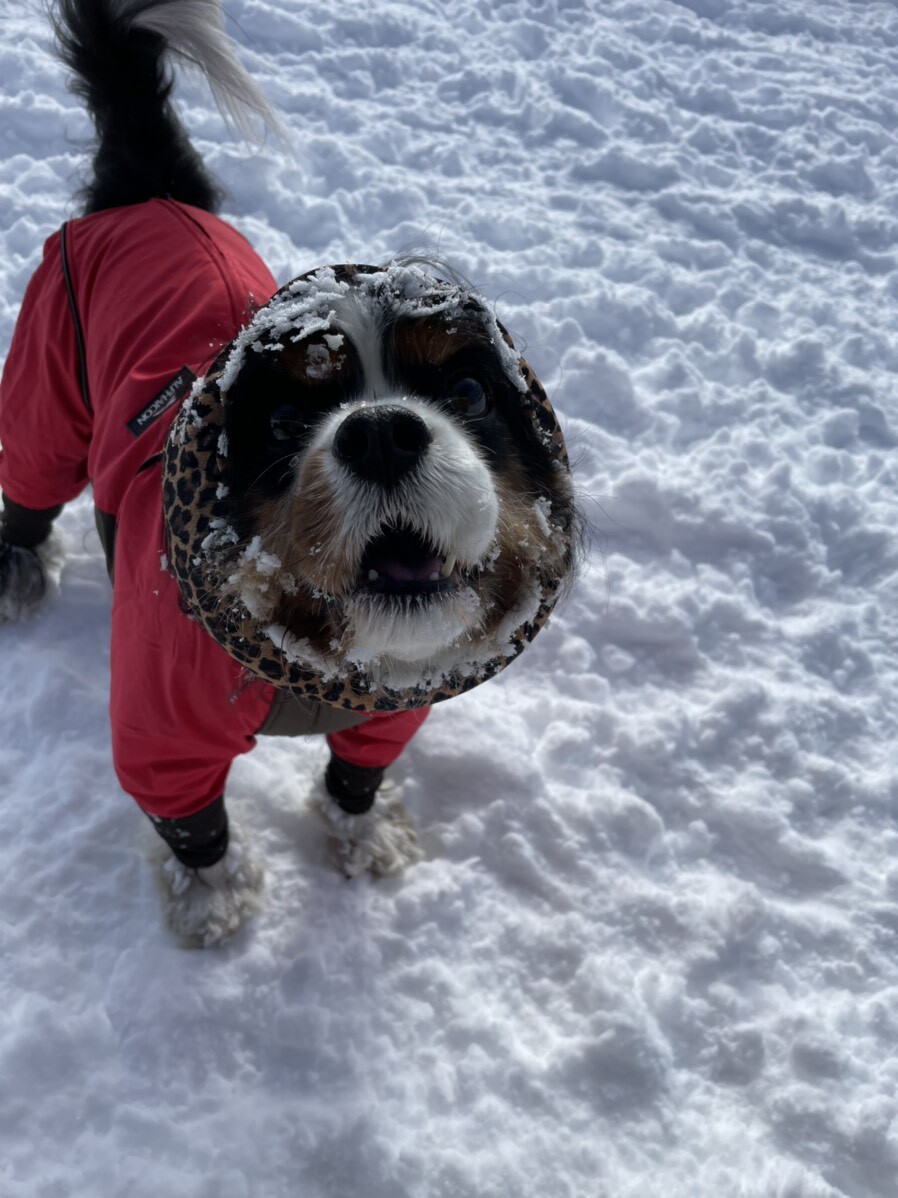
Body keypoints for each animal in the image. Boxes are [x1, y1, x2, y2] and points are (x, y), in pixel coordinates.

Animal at [0, 0, 577, 944]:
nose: (381, 434)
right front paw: (213, 900)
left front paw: (365, 835)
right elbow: (190, 819)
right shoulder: (161, 732)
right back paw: (17, 574)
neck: (315, 662)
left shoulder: (390, 711)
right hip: (47, 382)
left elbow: (359, 773)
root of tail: (146, 191)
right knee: (30, 489)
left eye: (465, 390)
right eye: (279, 422)